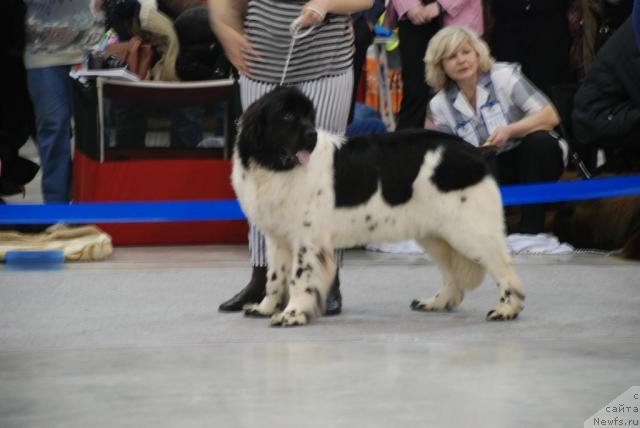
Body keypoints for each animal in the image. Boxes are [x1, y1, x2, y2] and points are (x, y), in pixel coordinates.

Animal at [232, 88, 524, 328]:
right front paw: (265, 308)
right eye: (287, 115)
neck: (276, 167)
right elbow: (274, 277)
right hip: (436, 233)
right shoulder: (277, 238)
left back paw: (507, 309)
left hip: (469, 229)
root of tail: (477, 151)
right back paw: (436, 302)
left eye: (309, 117)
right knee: (452, 273)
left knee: (503, 266)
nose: (311, 135)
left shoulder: (307, 239)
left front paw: (292, 314)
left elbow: (299, 278)